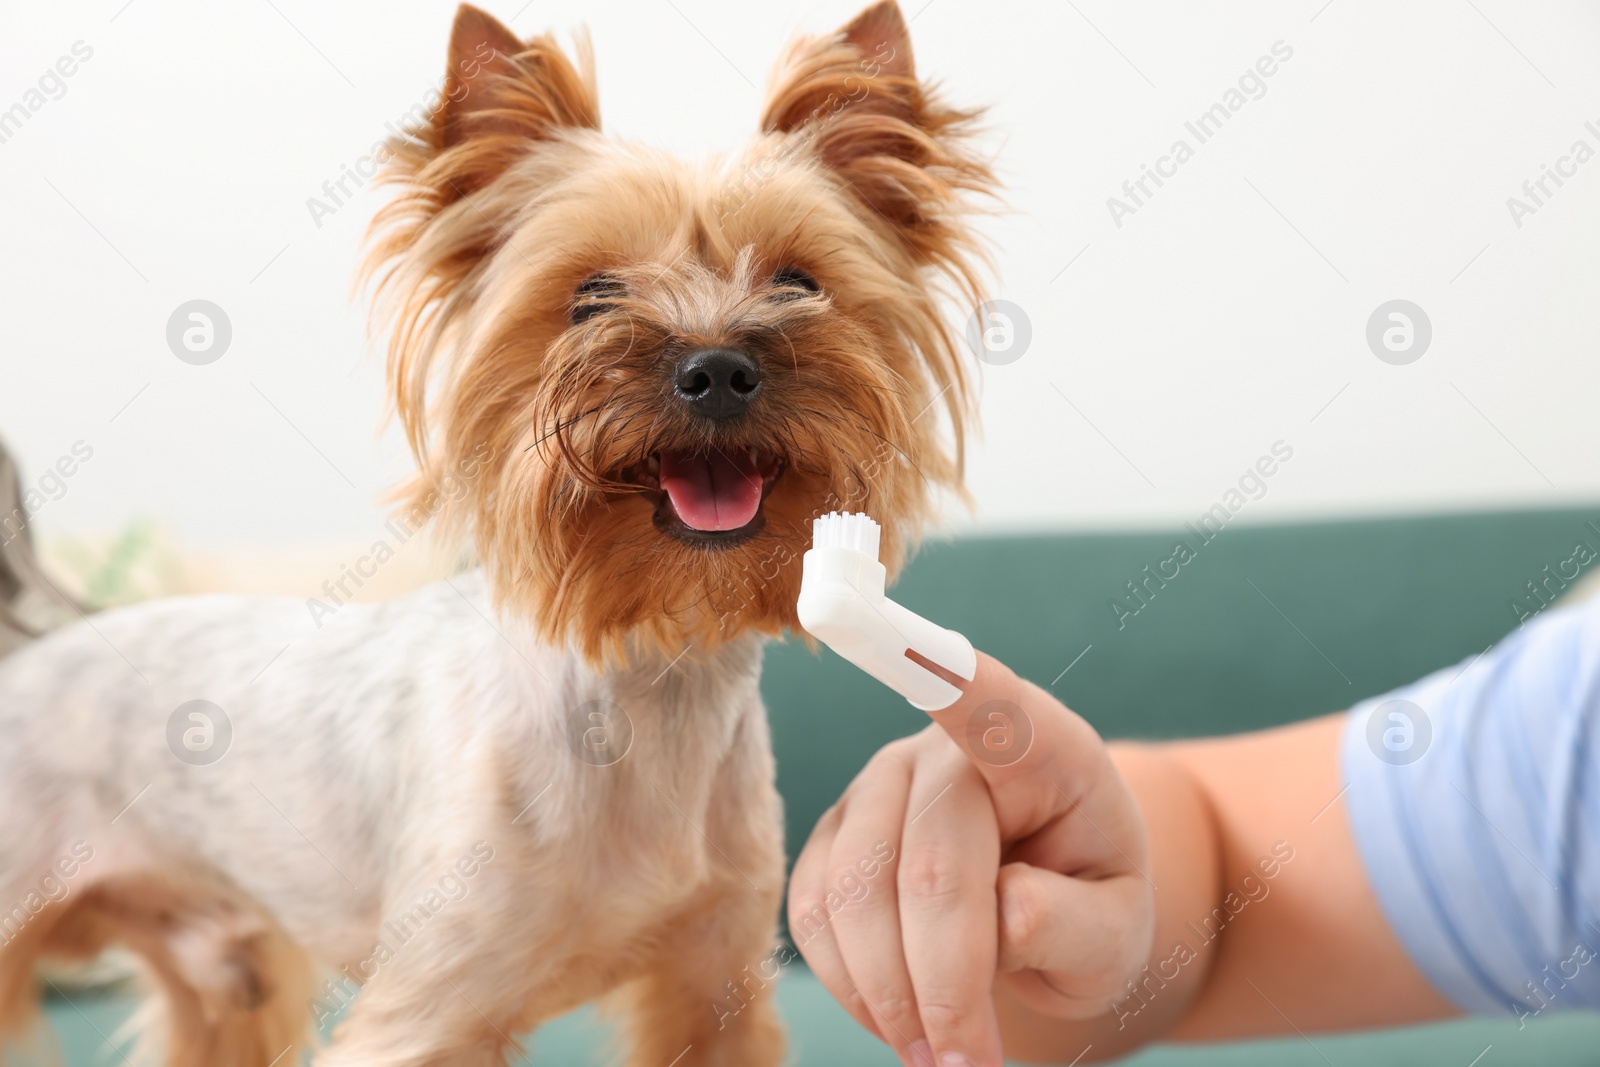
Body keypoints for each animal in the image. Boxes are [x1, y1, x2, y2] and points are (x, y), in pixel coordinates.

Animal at [0, 4, 992, 1062]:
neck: (653, 670)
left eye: (801, 282)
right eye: (590, 295)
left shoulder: (711, 983)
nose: (717, 368)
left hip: (225, 967)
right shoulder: (429, 1009)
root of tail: (38, 646)